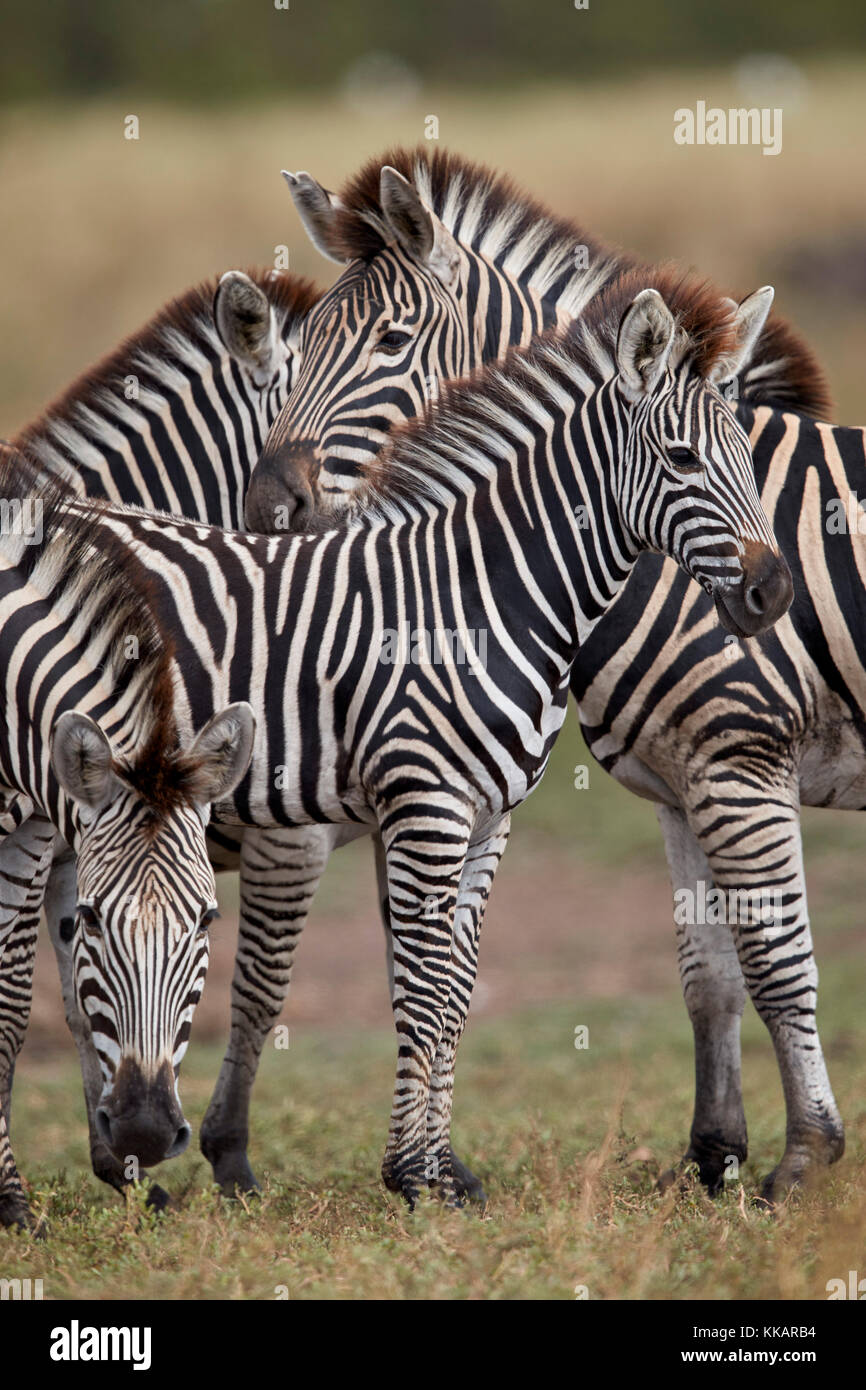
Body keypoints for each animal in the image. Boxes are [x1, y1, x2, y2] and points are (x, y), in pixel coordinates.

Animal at [241, 146, 839, 1200]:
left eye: (392, 341)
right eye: (301, 343)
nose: (271, 506)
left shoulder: (740, 754)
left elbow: (779, 962)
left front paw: (804, 1161)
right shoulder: (687, 780)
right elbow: (711, 975)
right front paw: (715, 1157)